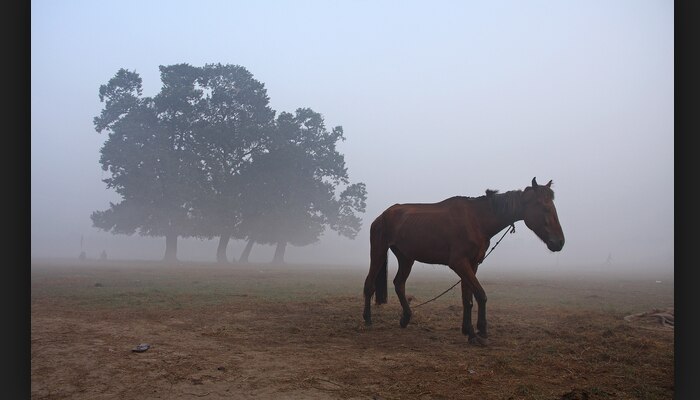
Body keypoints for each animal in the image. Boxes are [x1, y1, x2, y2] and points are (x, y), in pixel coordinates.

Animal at [360, 177, 564, 346]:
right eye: (545, 208)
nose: (560, 242)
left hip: (406, 258)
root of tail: (382, 215)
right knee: (369, 285)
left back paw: (406, 318)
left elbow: (468, 299)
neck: (477, 220)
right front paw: (480, 332)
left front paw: (469, 332)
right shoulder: (459, 264)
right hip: (378, 251)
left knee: (399, 284)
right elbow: (480, 295)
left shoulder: (472, 265)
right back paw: (368, 320)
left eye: (554, 208)